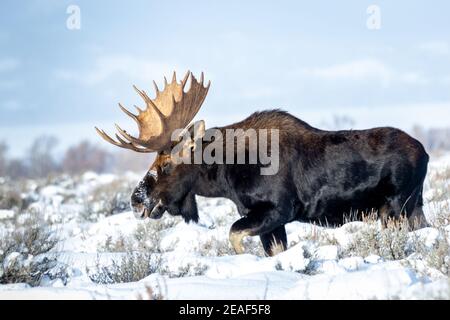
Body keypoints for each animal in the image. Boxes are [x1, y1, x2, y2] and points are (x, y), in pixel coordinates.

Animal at [96, 71, 428, 256]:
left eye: (165, 165)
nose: (136, 201)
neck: (225, 177)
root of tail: (424, 152)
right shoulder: (269, 220)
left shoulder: (279, 210)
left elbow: (234, 235)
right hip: (412, 207)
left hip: (396, 207)